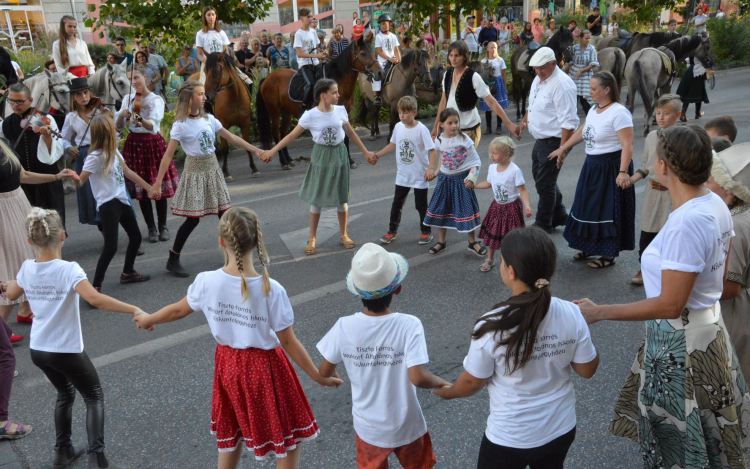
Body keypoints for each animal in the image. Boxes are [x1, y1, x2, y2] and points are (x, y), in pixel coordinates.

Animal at [203, 52, 259, 181]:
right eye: (204, 71)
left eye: (216, 72)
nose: (207, 97)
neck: (234, 97)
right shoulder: (222, 126)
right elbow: (225, 149)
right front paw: (226, 173)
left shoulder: (245, 124)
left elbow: (247, 144)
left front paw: (254, 168)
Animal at [255, 35, 383, 167]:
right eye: (362, 53)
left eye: (373, 52)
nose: (380, 73)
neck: (337, 82)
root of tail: (267, 78)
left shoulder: (345, 113)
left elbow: (346, 137)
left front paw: (350, 161)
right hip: (274, 111)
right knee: (276, 134)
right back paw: (284, 162)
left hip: (286, 112)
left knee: (283, 133)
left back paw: (288, 159)